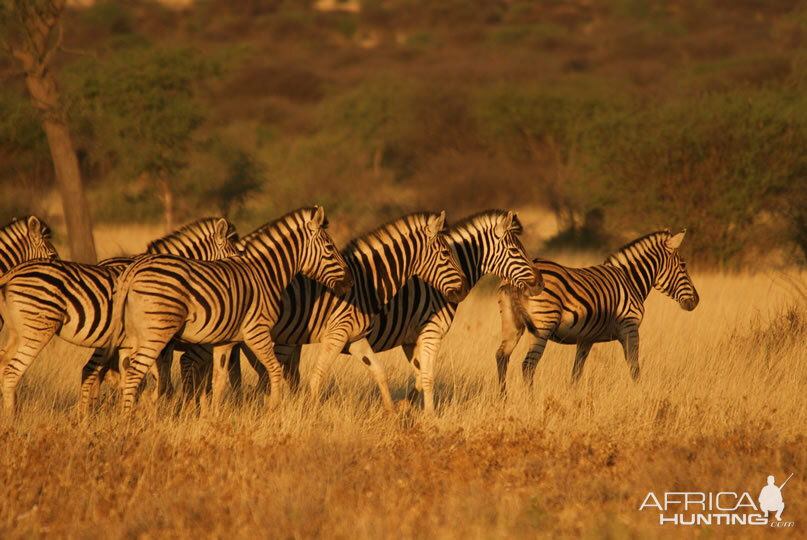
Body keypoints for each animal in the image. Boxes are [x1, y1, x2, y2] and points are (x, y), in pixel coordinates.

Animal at [105, 207, 352, 414]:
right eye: (330, 248)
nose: (349, 282)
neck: (265, 274)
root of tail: (132, 270)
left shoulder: (226, 340)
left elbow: (219, 380)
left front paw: (212, 416)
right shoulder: (256, 331)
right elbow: (274, 369)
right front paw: (273, 408)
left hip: (134, 335)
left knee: (127, 371)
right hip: (157, 332)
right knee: (134, 373)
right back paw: (128, 418)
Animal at [185, 211, 470, 414]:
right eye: (446, 253)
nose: (465, 289)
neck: (368, 284)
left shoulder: (355, 337)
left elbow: (379, 371)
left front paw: (391, 414)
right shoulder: (336, 334)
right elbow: (317, 377)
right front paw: (309, 414)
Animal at [496, 227, 696, 388]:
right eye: (683, 265)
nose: (696, 300)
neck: (630, 280)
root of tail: (515, 280)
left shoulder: (586, 338)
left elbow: (576, 372)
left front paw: (573, 397)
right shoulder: (630, 327)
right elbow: (634, 367)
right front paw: (640, 392)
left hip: (511, 323)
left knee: (501, 357)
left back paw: (502, 398)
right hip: (543, 325)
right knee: (528, 365)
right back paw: (529, 400)